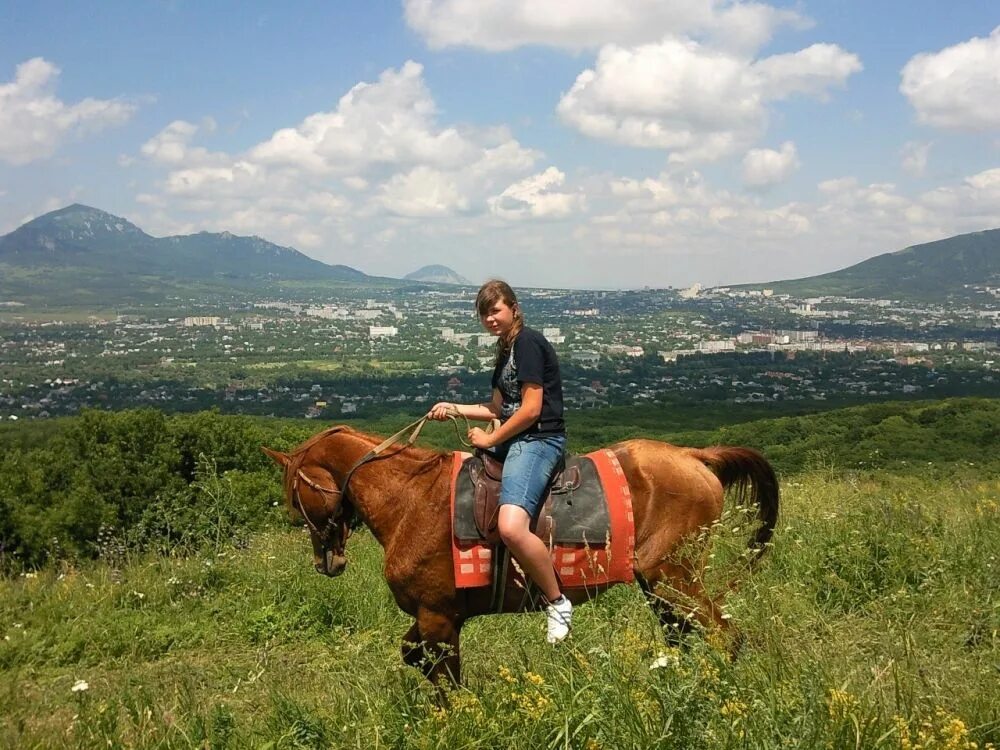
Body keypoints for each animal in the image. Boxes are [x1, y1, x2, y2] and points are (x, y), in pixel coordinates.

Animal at [262, 426, 776, 684]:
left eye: (295, 500)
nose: (326, 563)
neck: (411, 498)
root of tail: (694, 456)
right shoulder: (435, 617)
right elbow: (414, 656)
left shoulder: (437, 617)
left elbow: (447, 681)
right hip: (660, 588)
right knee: (685, 636)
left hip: (674, 579)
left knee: (726, 637)